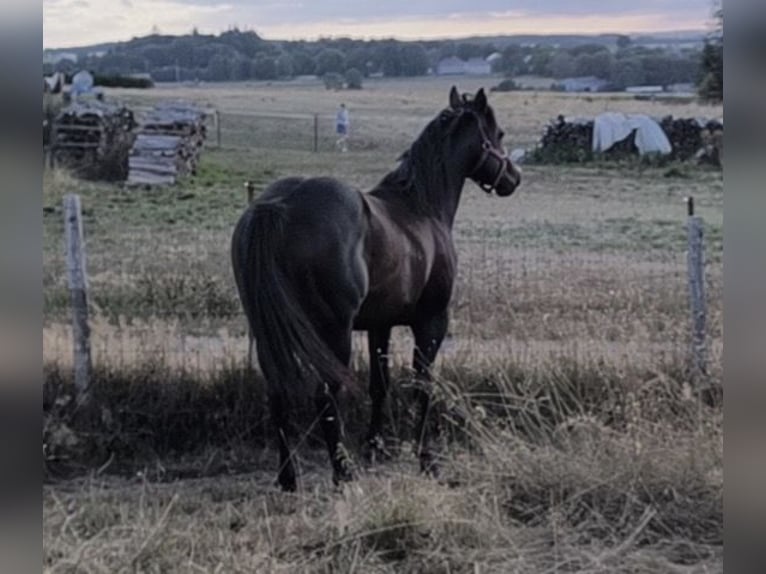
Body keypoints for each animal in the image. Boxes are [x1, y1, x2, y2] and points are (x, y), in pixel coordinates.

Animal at [231, 86, 521, 491]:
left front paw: (376, 448)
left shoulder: (379, 325)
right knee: (325, 393)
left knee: (277, 393)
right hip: (333, 332)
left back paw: (288, 478)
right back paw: (342, 473)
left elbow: (379, 385)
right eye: (499, 133)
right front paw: (427, 460)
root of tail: (275, 205)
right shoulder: (432, 321)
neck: (421, 207)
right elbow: (422, 386)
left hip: (268, 329)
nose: (514, 177)